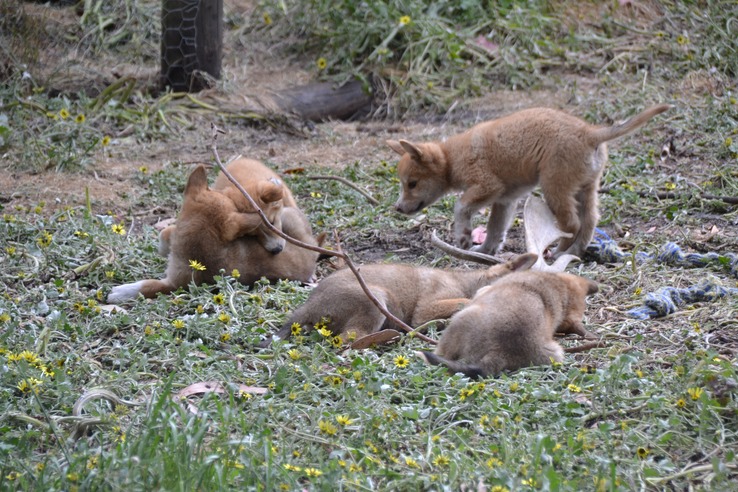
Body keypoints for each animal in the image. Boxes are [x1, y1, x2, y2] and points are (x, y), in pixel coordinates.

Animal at [264, 252, 536, 344]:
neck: (466, 282)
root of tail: (308, 306)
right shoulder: (426, 309)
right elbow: (466, 302)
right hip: (375, 299)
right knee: (348, 340)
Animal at [388, 104, 668, 258]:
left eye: (411, 183)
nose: (398, 208)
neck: (452, 157)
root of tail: (589, 133)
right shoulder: (505, 200)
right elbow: (495, 230)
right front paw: (485, 251)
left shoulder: (487, 187)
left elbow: (460, 207)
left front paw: (464, 237)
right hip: (585, 190)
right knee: (588, 223)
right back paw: (573, 252)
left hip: (554, 188)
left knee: (572, 223)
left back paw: (560, 251)